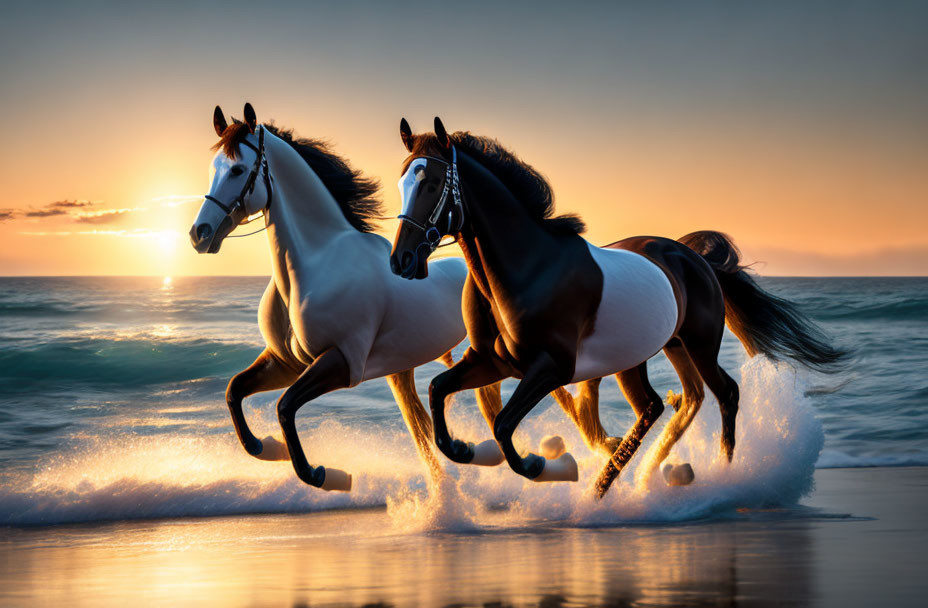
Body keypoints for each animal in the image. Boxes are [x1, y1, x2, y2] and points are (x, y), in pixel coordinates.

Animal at [388, 117, 844, 494]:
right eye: (401, 183)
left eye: (431, 184)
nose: (402, 260)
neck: (528, 268)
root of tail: (693, 257)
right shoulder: (492, 361)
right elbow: (438, 392)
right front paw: (468, 450)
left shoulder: (553, 367)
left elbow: (503, 425)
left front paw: (539, 466)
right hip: (652, 352)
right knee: (657, 406)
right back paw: (612, 486)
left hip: (699, 345)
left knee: (723, 393)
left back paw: (721, 477)